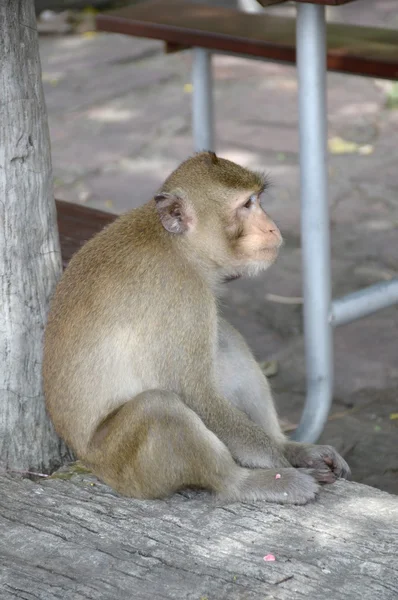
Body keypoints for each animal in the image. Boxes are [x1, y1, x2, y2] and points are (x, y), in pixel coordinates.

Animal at [42, 152, 350, 504]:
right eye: (246, 205)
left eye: (258, 200)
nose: (272, 226)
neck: (179, 246)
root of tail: (87, 460)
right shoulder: (181, 296)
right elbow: (196, 396)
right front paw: (284, 460)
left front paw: (295, 452)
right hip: (122, 465)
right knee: (159, 407)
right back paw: (247, 482)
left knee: (225, 338)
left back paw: (288, 446)